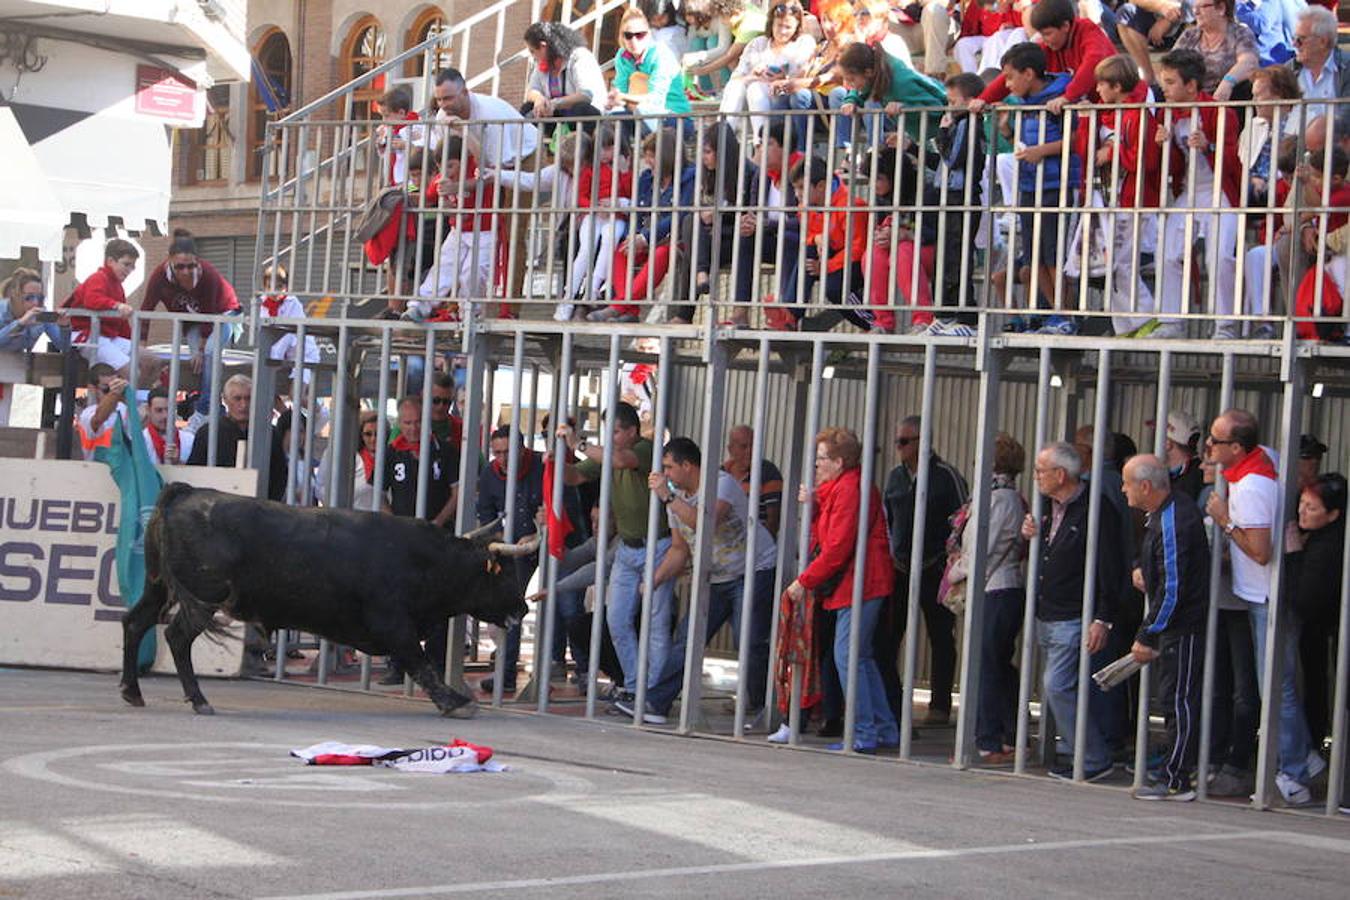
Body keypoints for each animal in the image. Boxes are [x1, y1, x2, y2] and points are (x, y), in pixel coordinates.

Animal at [120, 485, 531, 717]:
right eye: (505, 575)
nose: (525, 608)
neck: (425, 559)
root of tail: (184, 493)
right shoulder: (393, 623)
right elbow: (421, 663)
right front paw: (455, 702)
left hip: (158, 586)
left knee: (134, 622)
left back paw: (132, 691)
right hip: (202, 599)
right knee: (176, 637)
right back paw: (199, 699)